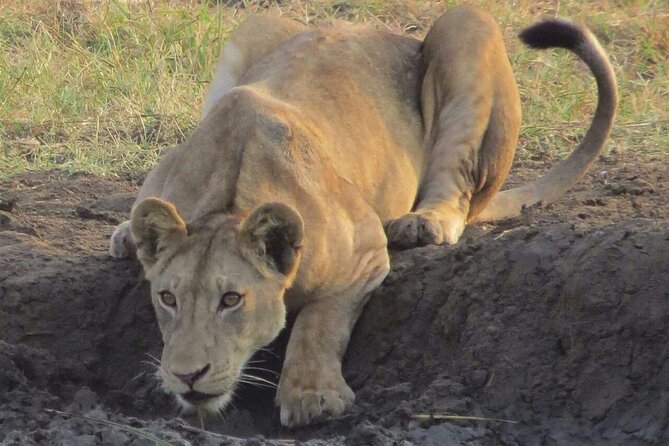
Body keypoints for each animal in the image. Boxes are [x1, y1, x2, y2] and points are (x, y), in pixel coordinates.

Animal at [109, 6, 616, 427]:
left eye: (231, 299)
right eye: (168, 298)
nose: (186, 375)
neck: (229, 201)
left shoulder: (365, 250)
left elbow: (321, 322)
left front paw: (312, 395)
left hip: (467, 27)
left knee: (458, 190)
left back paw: (423, 223)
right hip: (255, 24)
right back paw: (127, 234)